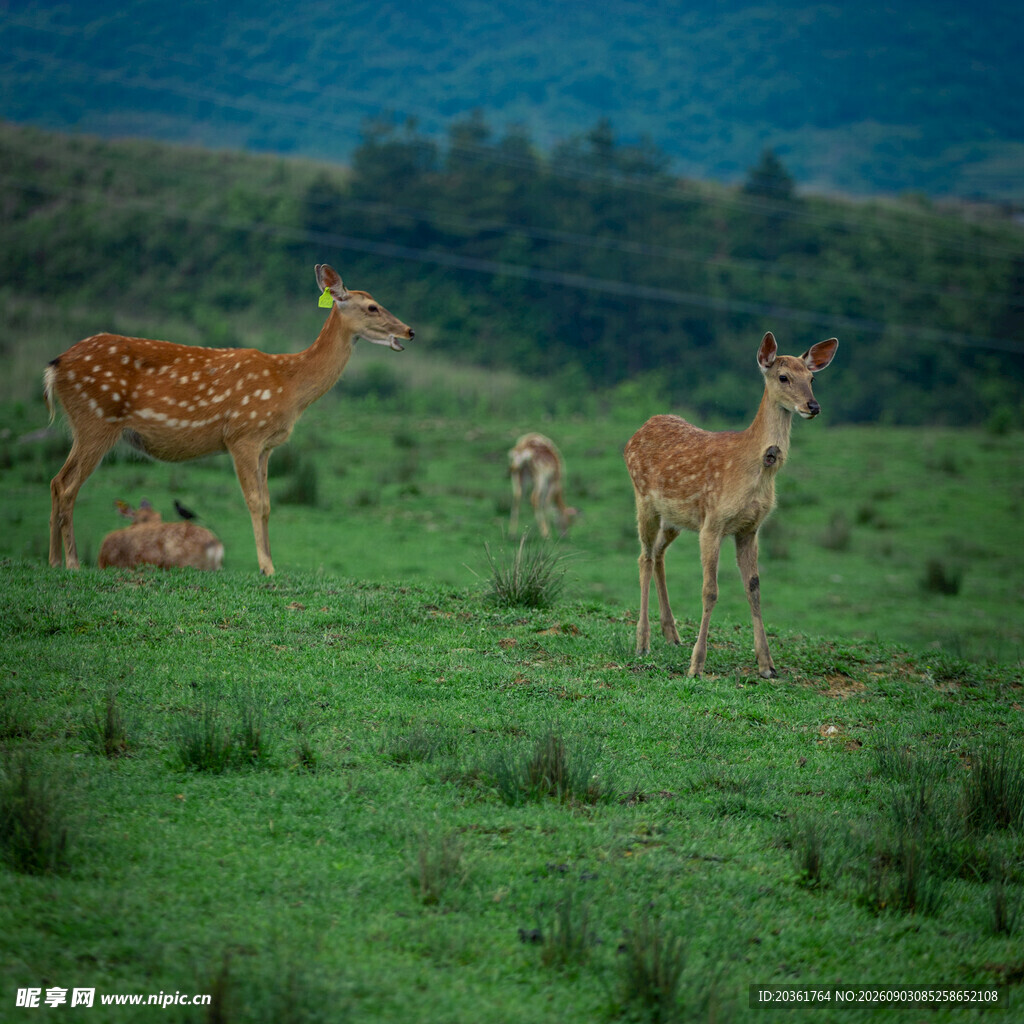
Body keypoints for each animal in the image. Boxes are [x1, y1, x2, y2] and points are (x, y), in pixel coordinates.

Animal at [44, 265, 414, 575]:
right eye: (372, 307)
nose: (410, 331)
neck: (289, 386)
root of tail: (55, 366)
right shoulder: (242, 435)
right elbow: (254, 501)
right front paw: (267, 567)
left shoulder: (267, 446)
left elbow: (267, 504)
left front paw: (270, 563)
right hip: (96, 419)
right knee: (68, 485)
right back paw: (72, 562)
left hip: (86, 424)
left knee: (56, 480)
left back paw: (53, 561)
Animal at [624, 331, 838, 678]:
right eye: (783, 376)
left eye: (812, 378)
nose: (813, 406)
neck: (756, 469)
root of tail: (638, 430)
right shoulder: (713, 523)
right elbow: (710, 590)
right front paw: (696, 666)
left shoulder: (750, 528)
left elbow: (754, 589)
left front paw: (767, 665)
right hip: (644, 500)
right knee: (644, 557)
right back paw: (642, 642)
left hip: (675, 519)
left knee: (657, 555)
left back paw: (672, 634)